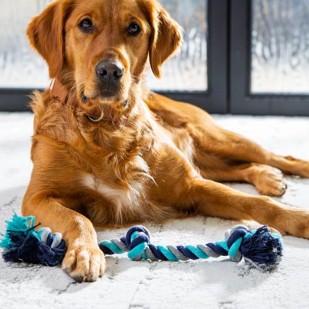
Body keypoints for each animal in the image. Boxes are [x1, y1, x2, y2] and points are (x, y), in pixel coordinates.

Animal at [22, 0, 308, 280]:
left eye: (134, 28)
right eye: (85, 24)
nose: (110, 71)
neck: (106, 124)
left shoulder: (191, 185)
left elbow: (256, 202)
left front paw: (299, 218)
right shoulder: (37, 198)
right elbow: (77, 218)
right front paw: (86, 253)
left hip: (218, 140)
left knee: (277, 157)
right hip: (209, 160)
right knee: (241, 168)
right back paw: (269, 177)